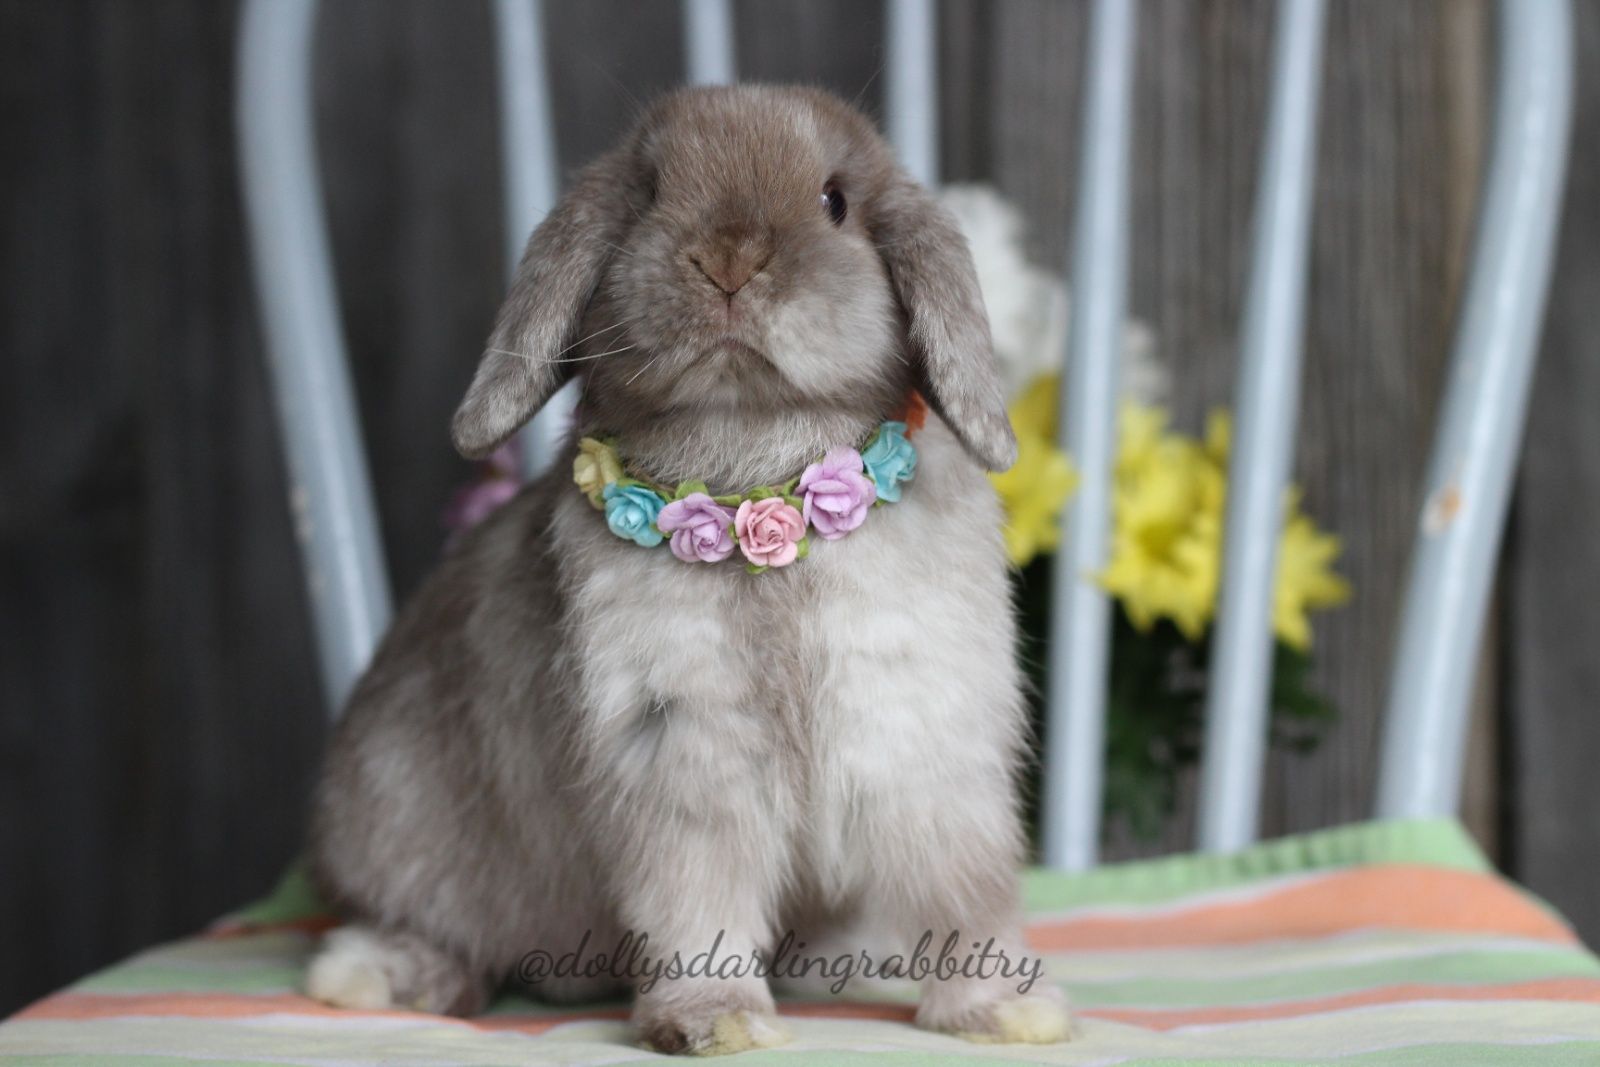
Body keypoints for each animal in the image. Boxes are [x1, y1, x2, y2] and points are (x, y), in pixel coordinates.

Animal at [303, 84, 1073, 1055]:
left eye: (836, 201)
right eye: (648, 197)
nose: (729, 259)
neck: (757, 472)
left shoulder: (920, 736)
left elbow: (964, 887)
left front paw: (1007, 1010)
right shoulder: (680, 752)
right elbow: (695, 898)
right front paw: (717, 1023)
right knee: (432, 935)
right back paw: (369, 974)